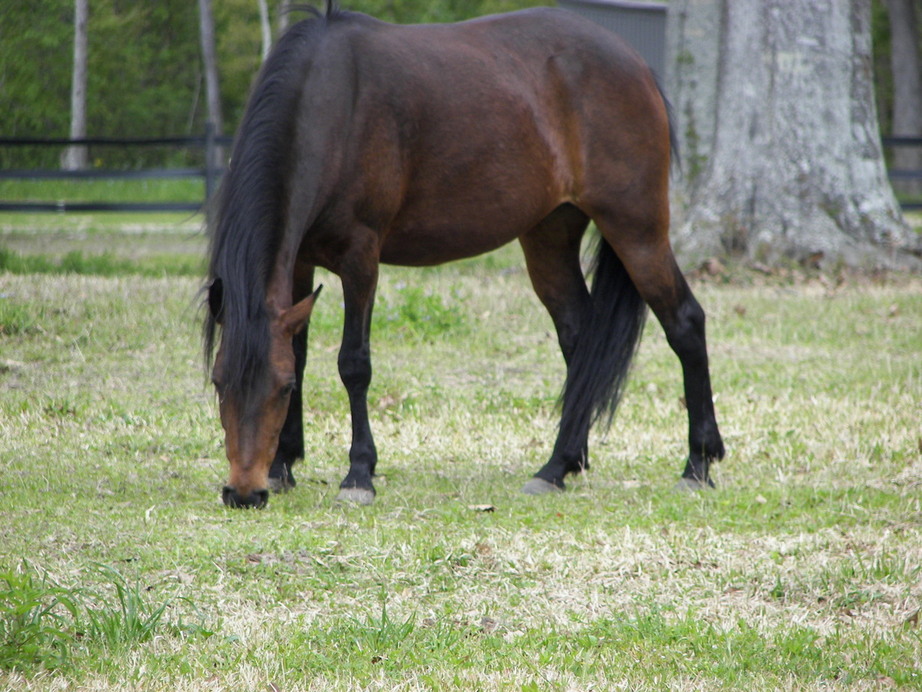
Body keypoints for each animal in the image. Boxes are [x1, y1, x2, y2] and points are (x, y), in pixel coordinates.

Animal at [199, 1, 720, 508]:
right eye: (219, 383)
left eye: (280, 389)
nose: (243, 493)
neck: (333, 105)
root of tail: (636, 64)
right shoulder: (300, 262)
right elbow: (303, 353)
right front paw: (284, 465)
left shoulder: (360, 258)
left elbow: (353, 364)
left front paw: (359, 475)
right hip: (550, 236)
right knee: (581, 339)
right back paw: (558, 466)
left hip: (637, 230)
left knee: (685, 323)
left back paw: (697, 465)